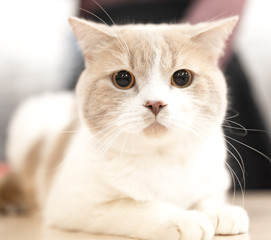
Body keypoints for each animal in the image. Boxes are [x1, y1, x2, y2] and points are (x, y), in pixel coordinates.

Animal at [4, 16, 250, 240]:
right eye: (122, 79)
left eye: (182, 77)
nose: (155, 103)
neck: (160, 157)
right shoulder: (76, 206)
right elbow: (139, 206)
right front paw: (183, 217)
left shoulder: (215, 180)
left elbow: (208, 196)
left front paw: (219, 210)